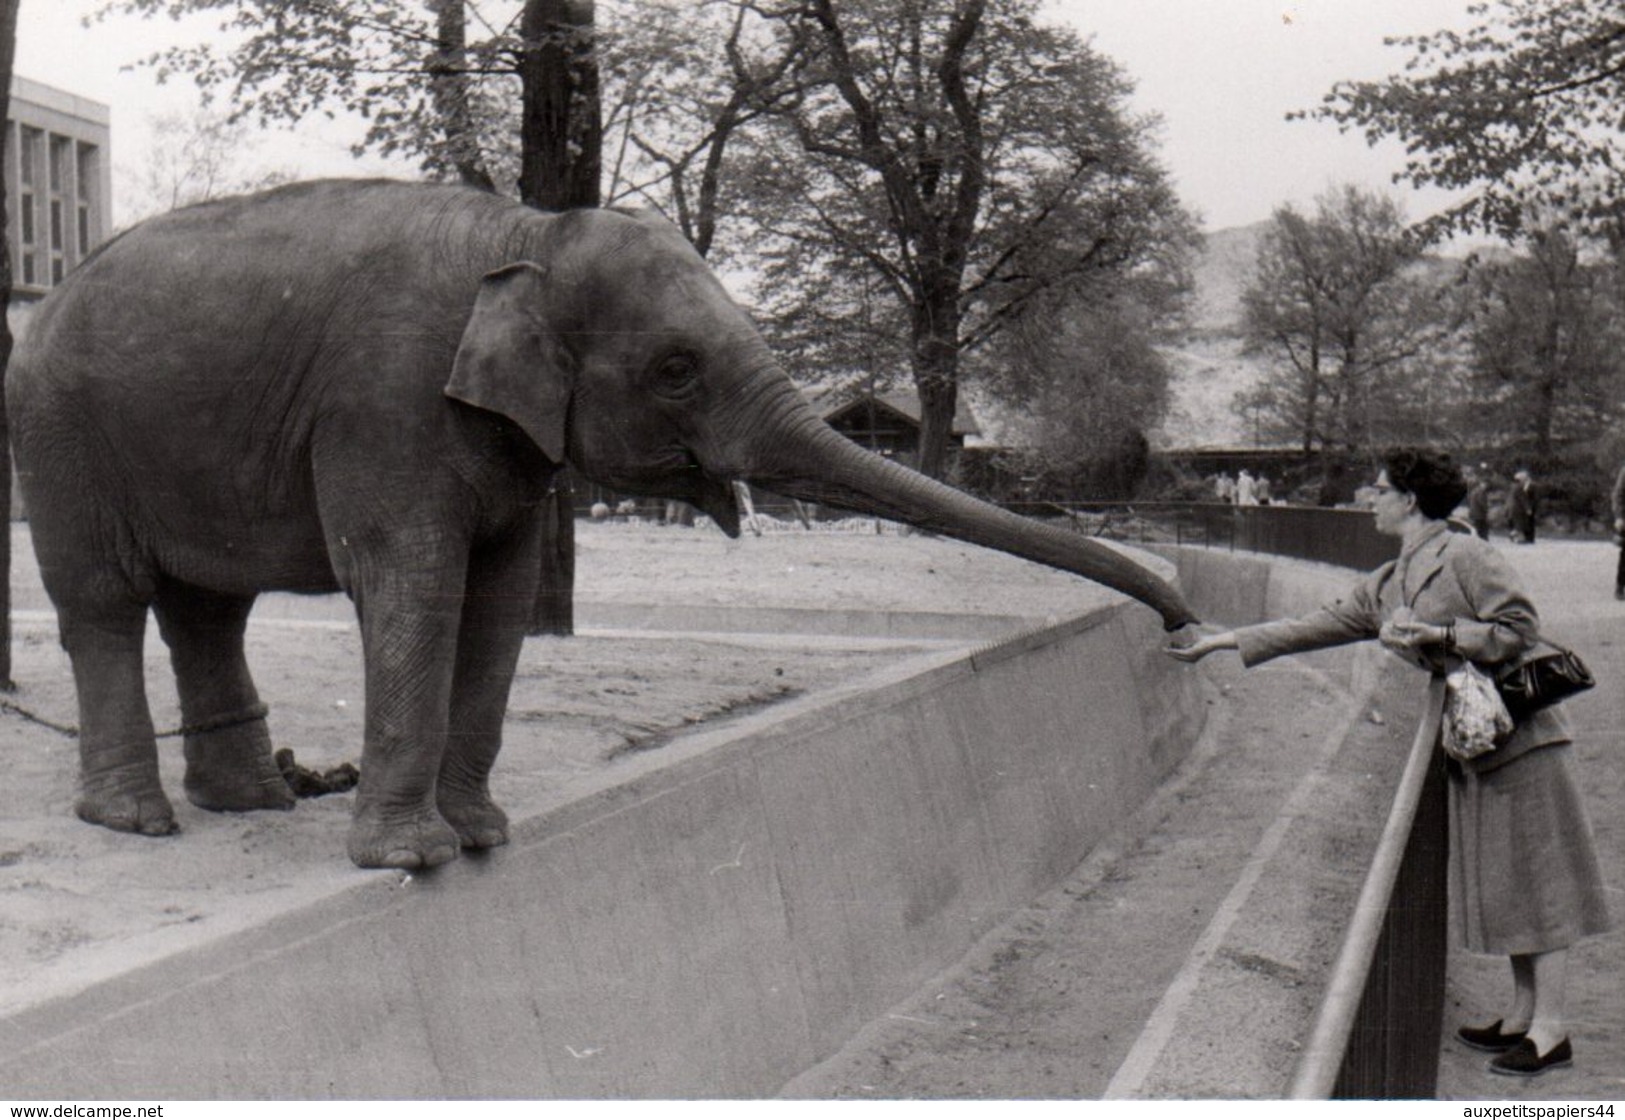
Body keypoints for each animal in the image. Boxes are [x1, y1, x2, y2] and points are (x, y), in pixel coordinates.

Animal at [6, 178, 1202, 871]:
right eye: (674, 368)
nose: (1186, 631)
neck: (524, 230)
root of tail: (44, 301)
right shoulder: (383, 400)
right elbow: (413, 585)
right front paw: (411, 860)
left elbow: (496, 600)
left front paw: (482, 839)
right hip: (59, 435)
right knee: (106, 601)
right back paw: (137, 821)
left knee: (209, 608)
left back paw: (248, 803)